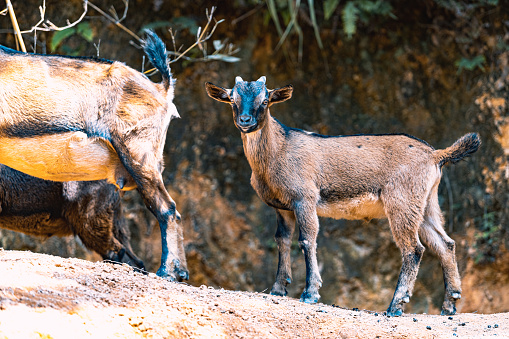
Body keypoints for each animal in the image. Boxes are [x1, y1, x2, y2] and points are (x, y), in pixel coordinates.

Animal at [204, 76, 478, 316]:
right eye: (232, 99)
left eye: (265, 101)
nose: (245, 120)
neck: (278, 152)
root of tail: (436, 155)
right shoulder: (282, 207)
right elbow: (282, 240)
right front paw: (278, 289)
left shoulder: (304, 198)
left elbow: (307, 239)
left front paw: (310, 293)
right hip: (426, 203)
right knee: (445, 244)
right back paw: (449, 305)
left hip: (402, 200)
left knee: (413, 248)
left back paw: (395, 306)